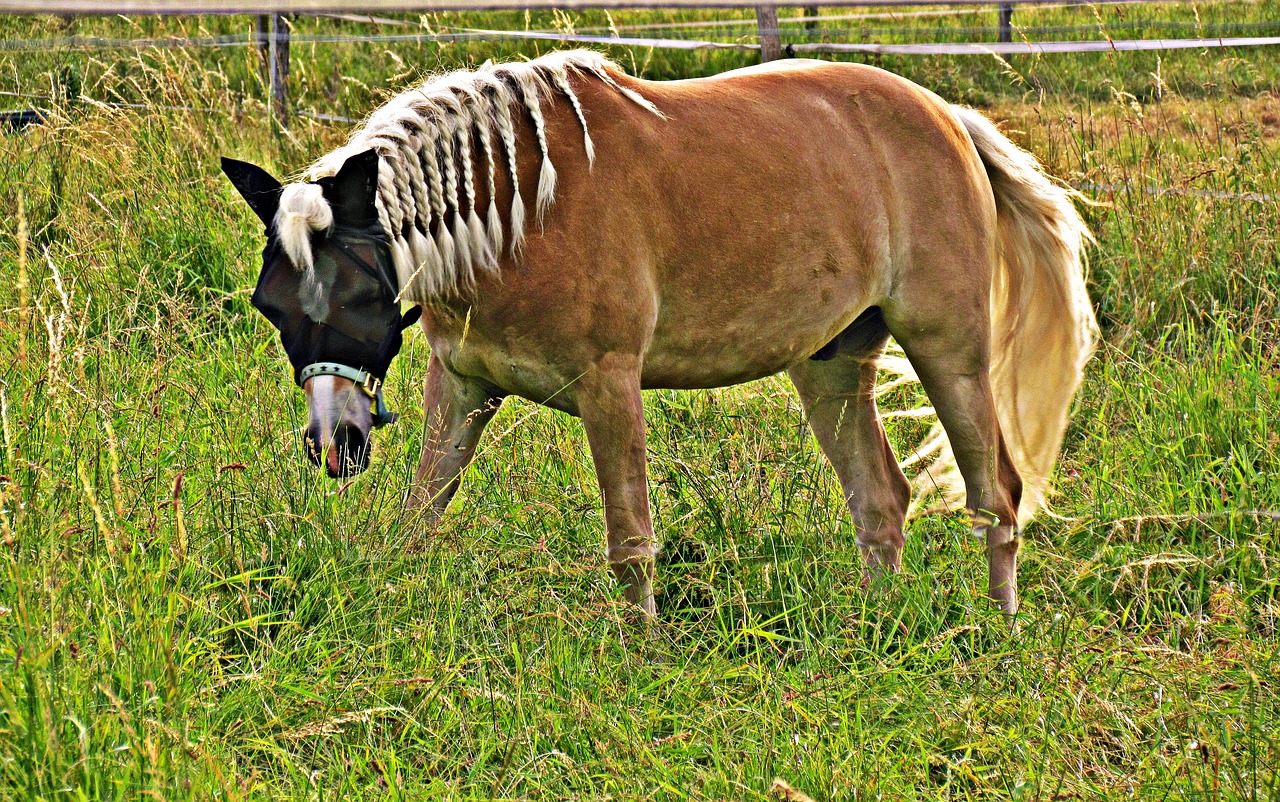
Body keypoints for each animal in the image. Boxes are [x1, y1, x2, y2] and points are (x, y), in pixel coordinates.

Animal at [222, 50, 1100, 619]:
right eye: (272, 308)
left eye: (360, 294)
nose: (333, 442)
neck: (517, 214)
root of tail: (949, 118)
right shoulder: (463, 382)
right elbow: (419, 517)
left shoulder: (609, 385)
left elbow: (631, 542)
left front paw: (640, 653)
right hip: (830, 365)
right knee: (881, 498)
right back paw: (872, 629)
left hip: (949, 353)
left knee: (996, 497)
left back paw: (998, 631)